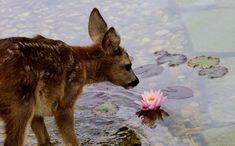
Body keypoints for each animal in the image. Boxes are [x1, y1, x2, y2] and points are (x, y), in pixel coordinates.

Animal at [0, 8, 139, 146]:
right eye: (128, 65)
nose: (136, 81)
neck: (84, 66)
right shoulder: (65, 101)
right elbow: (72, 141)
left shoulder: (37, 112)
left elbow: (45, 139)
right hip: (20, 105)